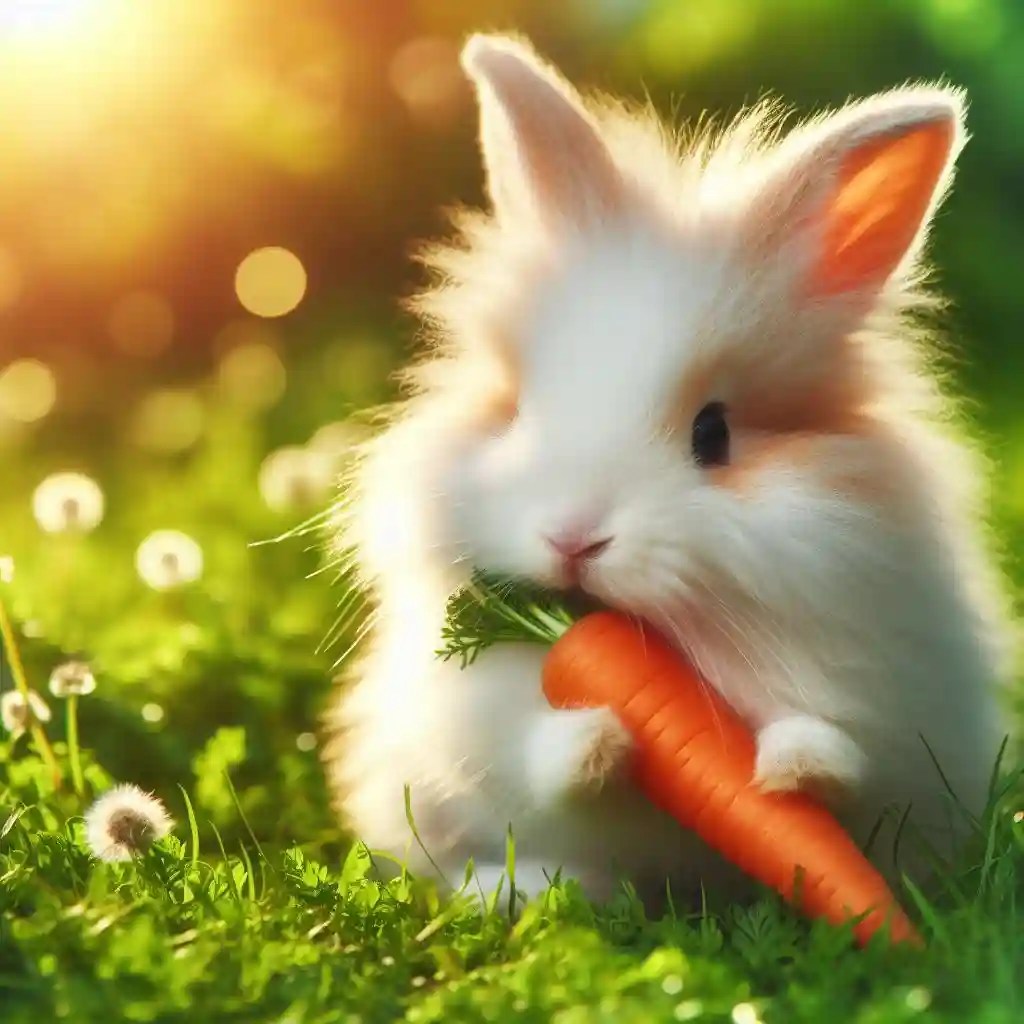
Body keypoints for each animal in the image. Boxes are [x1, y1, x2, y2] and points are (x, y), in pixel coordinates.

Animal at [322, 33, 1014, 908]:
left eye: (712, 435)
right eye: (523, 411)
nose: (573, 539)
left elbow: (841, 759)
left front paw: (793, 764)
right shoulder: (472, 713)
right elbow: (543, 763)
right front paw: (599, 739)